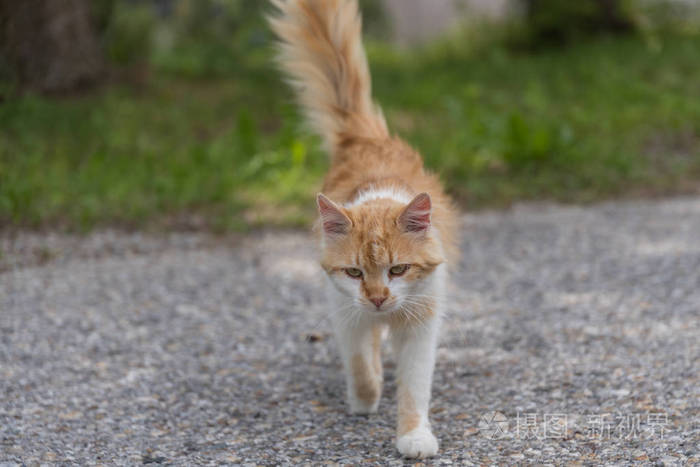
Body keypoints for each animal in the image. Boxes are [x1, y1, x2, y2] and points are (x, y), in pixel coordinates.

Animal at [270, 0, 460, 460]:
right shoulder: (345, 310)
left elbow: (414, 389)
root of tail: (365, 138)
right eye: (356, 272)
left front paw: (414, 437)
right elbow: (358, 363)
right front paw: (364, 399)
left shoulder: (422, 321)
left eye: (399, 269)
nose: (377, 298)